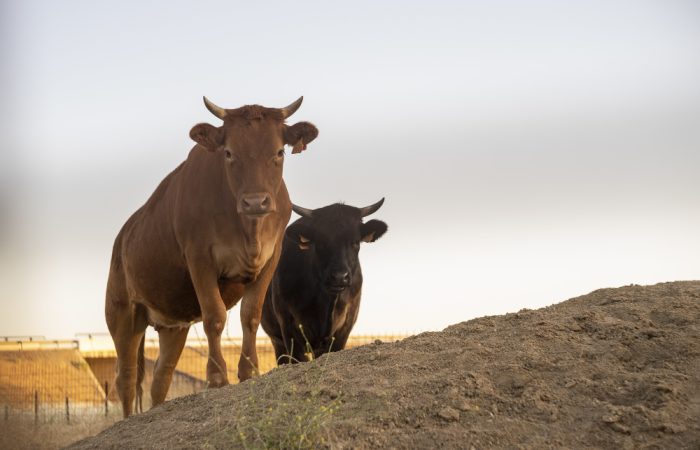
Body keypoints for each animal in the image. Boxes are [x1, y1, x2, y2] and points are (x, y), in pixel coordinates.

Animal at [105, 96, 318, 417]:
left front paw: (249, 371)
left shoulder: (271, 258)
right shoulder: (199, 259)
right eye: (228, 153)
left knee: (161, 378)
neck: (247, 230)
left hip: (172, 326)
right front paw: (217, 378)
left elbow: (250, 315)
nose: (256, 202)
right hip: (123, 313)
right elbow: (214, 316)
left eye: (279, 152)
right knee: (126, 377)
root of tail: (122, 237)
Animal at [261, 199, 388, 364]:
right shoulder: (288, 328)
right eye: (320, 242)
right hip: (276, 339)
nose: (339, 276)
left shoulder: (343, 330)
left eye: (355, 242)